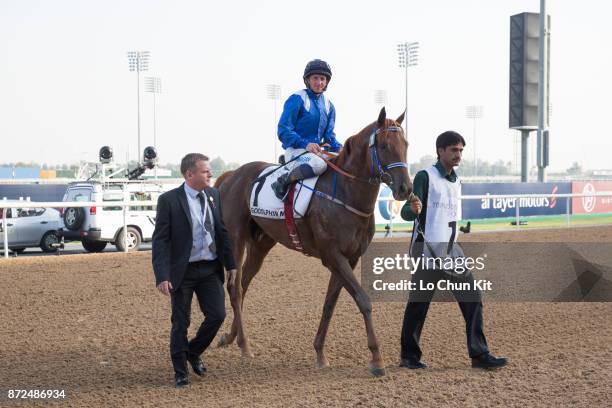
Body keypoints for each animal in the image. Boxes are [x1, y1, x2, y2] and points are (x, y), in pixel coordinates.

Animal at [214, 108, 412, 376]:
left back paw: (230, 337)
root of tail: (230, 176)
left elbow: (330, 303)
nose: (405, 189)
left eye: (405, 144)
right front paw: (376, 358)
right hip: (235, 238)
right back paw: (244, 345)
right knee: (235, 288)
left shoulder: (349, 258)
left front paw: (320, 353)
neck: (346, 194)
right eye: (383, 145)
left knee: (243, 285)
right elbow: (363, 300)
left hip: (261, 244)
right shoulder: (333, 256)